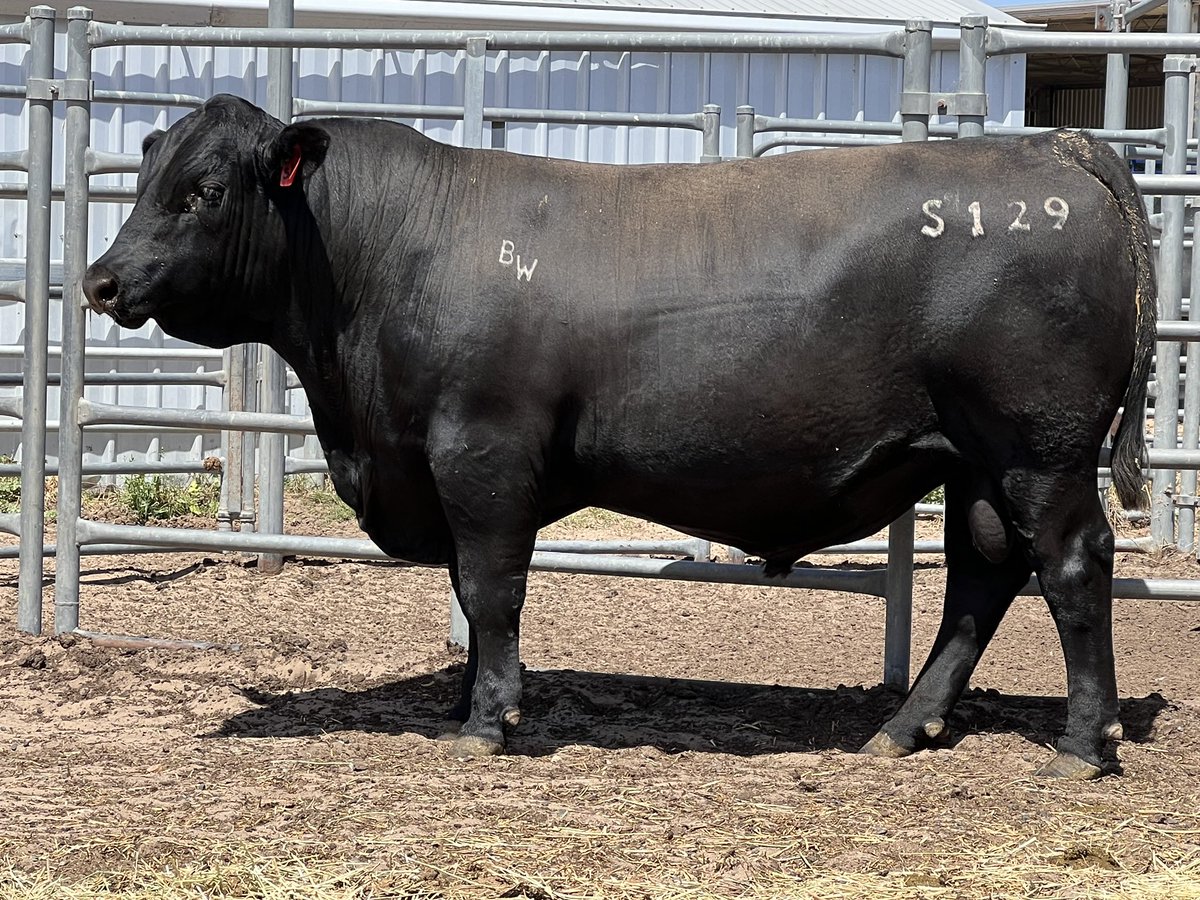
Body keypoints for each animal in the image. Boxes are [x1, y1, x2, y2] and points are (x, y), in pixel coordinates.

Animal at [83, 95, 1156, 779]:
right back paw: (902, 728)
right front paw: (465, 700)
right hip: (974, 461)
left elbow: (491, 587)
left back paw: (1083, 744)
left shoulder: (481, 453)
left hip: (1041, 449)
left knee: (1070, 563)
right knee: (982, 574)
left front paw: (488, 720)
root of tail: (1056, 150)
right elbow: (466, 594)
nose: (100, 279)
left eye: (205, 190)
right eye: (146, 179)